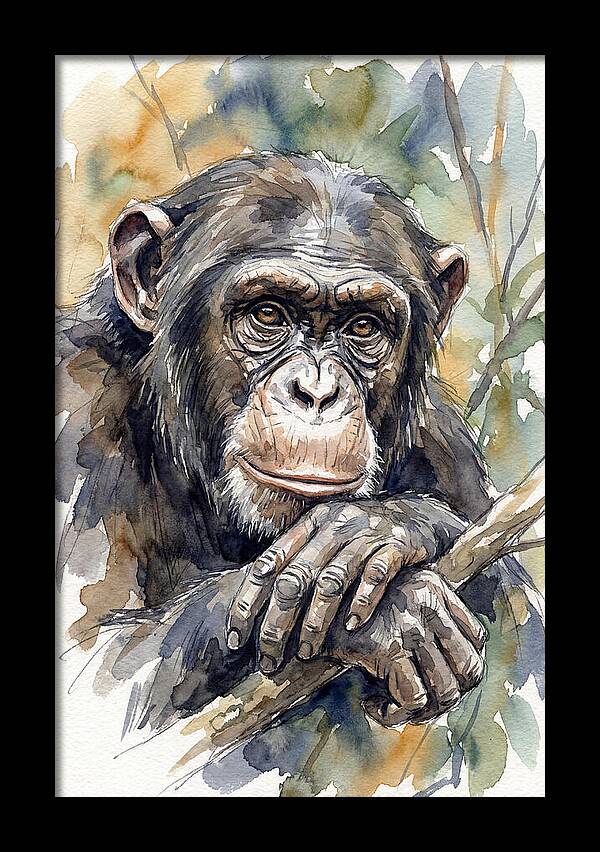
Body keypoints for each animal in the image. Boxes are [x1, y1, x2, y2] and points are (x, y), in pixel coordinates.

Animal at [56, 151, 541, 737]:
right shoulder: (76, 408)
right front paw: (399, 612)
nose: (316, 391)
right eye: (268, 314)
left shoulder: (445, 445)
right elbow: (97, 669)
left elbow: (522, 621)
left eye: (364, 327)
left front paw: (379, 528)